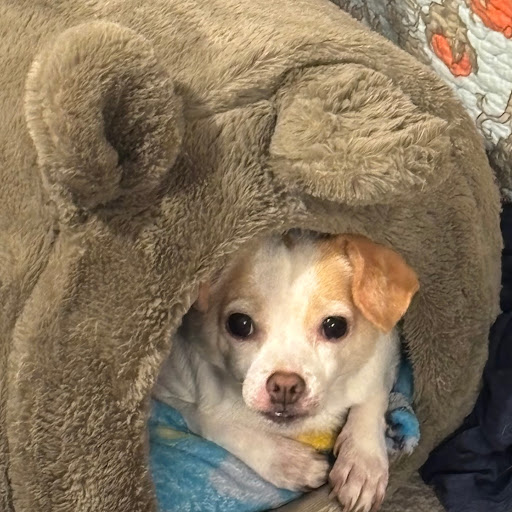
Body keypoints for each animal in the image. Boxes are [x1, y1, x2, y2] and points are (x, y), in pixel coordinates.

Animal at [154, 232, 419, 512]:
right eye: (239, 324)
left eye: (335, 327)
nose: (285, 385)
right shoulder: (170, 392)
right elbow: (213, 421)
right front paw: (289, 462)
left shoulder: (387, 351)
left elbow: (372, 396)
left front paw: (363, 462)